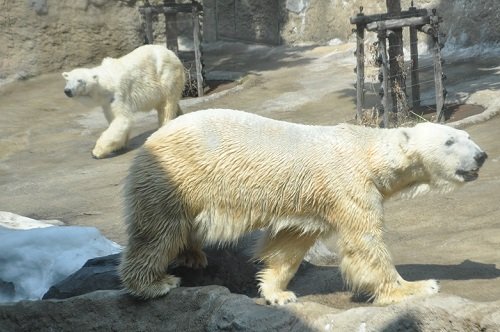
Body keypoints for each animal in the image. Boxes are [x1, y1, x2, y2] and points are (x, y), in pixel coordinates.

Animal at [119, 109, 486, 306]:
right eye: (450, 141)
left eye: (467, 136)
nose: (482, 155)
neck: (369, 153)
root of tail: (153, 138)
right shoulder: (349, 185)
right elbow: (365, 245)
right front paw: (418, 286)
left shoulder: (312, 201)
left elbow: (290, 242)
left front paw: (277, 292)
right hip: (177, 177)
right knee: (157, 232)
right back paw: (154, 283)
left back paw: (193, 255)